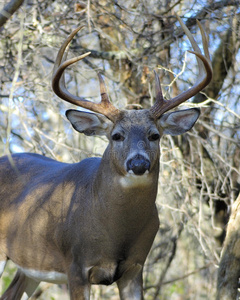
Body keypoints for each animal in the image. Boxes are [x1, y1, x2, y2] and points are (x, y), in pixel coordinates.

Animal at [0, 17, 211, 300]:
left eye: (155, 135)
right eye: (116, 135)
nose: (138, 163)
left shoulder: (135, 267)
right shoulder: (76, 266)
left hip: (29, 265)